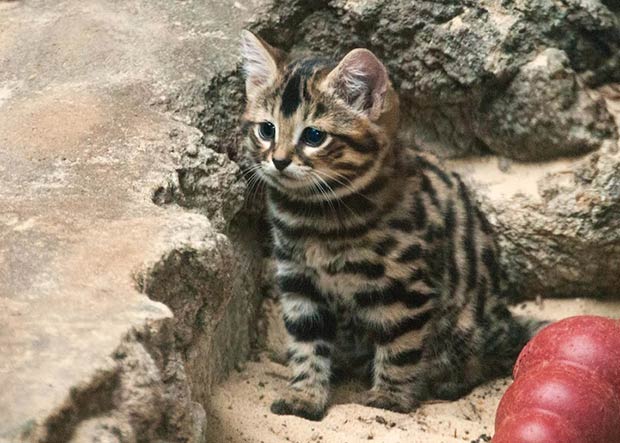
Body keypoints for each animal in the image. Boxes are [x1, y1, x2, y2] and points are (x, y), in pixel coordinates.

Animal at [240, 30, 540, 420]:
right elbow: (307, 344)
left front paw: (390, 398)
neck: (316, 216)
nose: (278, 161)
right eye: (266, 129)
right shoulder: (298, 282)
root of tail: (506, 320)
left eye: (313, 136)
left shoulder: (404, 287)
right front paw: (304, 395)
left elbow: (400, 347)